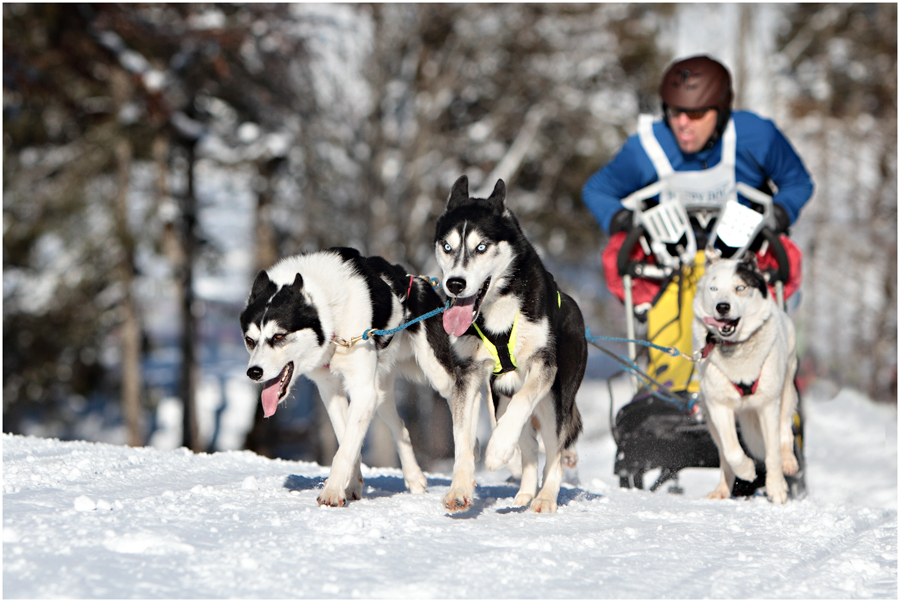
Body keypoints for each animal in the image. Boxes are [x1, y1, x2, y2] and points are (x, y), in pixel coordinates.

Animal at [241, 246, 458, 504]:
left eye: (278, 336)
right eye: (250, 340)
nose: (254, 372)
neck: (332, 314)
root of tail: (415, 280)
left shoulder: (363, 391)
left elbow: (345, 449)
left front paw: (332, 491)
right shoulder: (332, 391)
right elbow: (347, 439)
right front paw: (352, 485)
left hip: (439, 377)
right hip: (381, 394)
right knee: (401, 428)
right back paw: (414, 478)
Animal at [434, 175, 588, 510]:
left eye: (481, 247)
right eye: (447, 246)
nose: (455, 284)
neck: (498, 307)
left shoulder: (542, 366)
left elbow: (522, 403)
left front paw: (497, 450)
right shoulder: (468, 374)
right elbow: (461, 436)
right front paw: (459, 488)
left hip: (555, 401)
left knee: (554, 452)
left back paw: (545, 497)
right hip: (500, 394)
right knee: (528, 447)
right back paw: (526, 492)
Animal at [692, 248, 800, 502]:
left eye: (740, 287)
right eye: (713, 288)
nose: (722, 307)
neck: (737, 349)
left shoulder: (768, 404)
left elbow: (772, 452)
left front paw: (777, 488)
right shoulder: (718, 405)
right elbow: (732, 451)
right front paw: (747, 470)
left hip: (786, 390)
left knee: (784, 432)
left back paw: (788, 461)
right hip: (710, 418)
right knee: (724, 455)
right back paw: (722, 489)